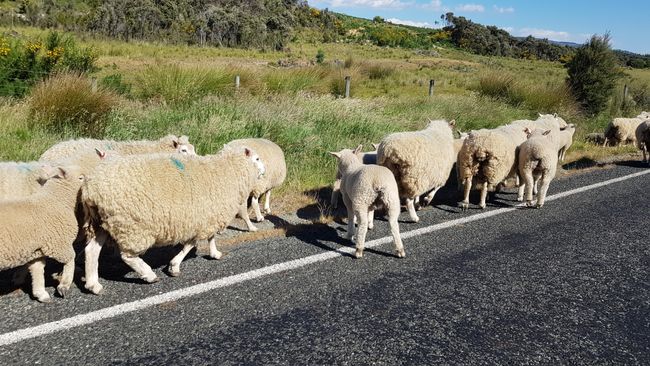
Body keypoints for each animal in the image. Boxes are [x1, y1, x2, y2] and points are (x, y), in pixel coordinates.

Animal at [0, 164, 85, 302]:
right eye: (81, 177)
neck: (55, 200)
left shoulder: (37, 250)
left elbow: (37, 270)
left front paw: (40, 293)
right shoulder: (58, 243)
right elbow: (70, 259)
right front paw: (64, 285)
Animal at [81, 146, 264, 294]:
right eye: (256, 158)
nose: (264, 170)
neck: (229, 170)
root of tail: (91, 188)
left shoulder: (208, 216)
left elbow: (209, 238)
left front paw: (214, 253)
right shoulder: (202, 219)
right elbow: (191, 244)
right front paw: (174, 266)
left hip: (103, 222)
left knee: (91, 251)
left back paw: (93, 285)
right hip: (131, 226)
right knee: (127, 256)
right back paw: (149, 274)